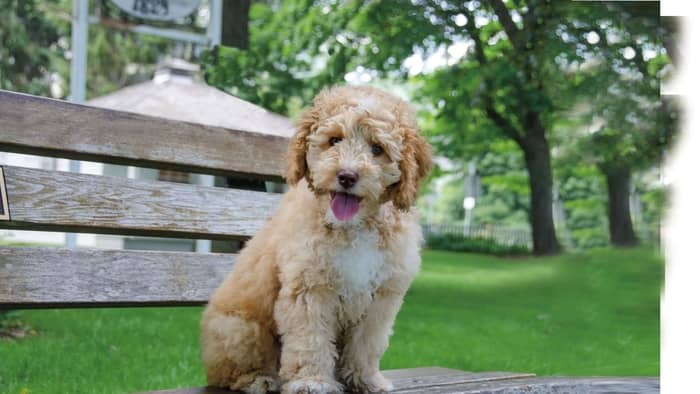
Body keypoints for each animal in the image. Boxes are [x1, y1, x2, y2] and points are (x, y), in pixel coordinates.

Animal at [200, 84, 432, 392]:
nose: (346, 176)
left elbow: (367, 344)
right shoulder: (309, 288)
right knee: (233, 370)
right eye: (334, 140)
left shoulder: (382, 297)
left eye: (377, 149)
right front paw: (312, 381)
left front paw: (366, 379)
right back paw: (259, 379)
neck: (354, 227)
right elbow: (310, 339)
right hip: (241, 329)